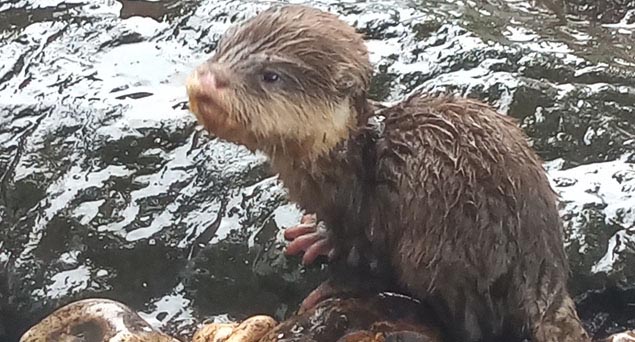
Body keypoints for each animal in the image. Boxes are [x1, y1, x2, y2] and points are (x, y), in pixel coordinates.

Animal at [186, 4, 592, 342]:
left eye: (270, 76)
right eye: (221, 48)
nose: (206, 81)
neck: (347, 163)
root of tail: (543, 277)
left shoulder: (375, 214)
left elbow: (369, 270)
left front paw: (331, 285)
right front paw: (315, 235)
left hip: (441, 248)